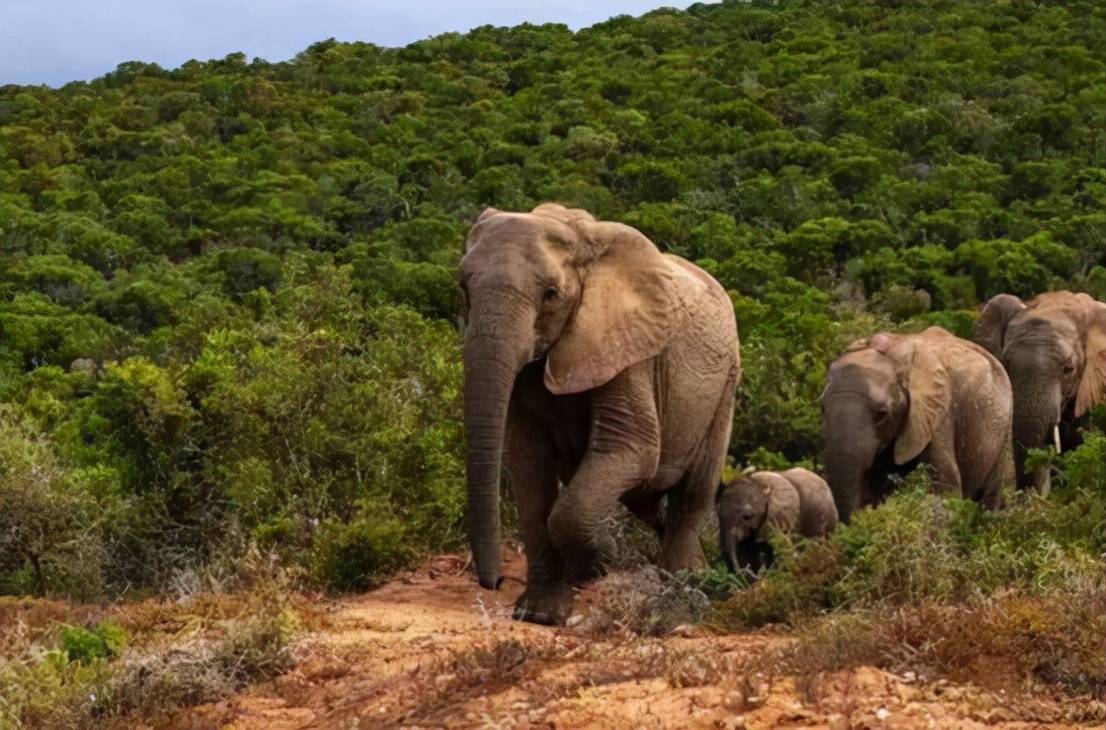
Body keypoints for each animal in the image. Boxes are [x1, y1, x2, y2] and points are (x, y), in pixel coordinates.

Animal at [462, 202, 738, 623]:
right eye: (463, 288)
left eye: (551, 295)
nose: (493, 583)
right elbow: (529, 463)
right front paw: (540, 615)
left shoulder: (629, 347)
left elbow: (632, 447)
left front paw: (604, 561)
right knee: (649, 503)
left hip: (726, 385)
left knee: (694, 490)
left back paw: (687, 586)